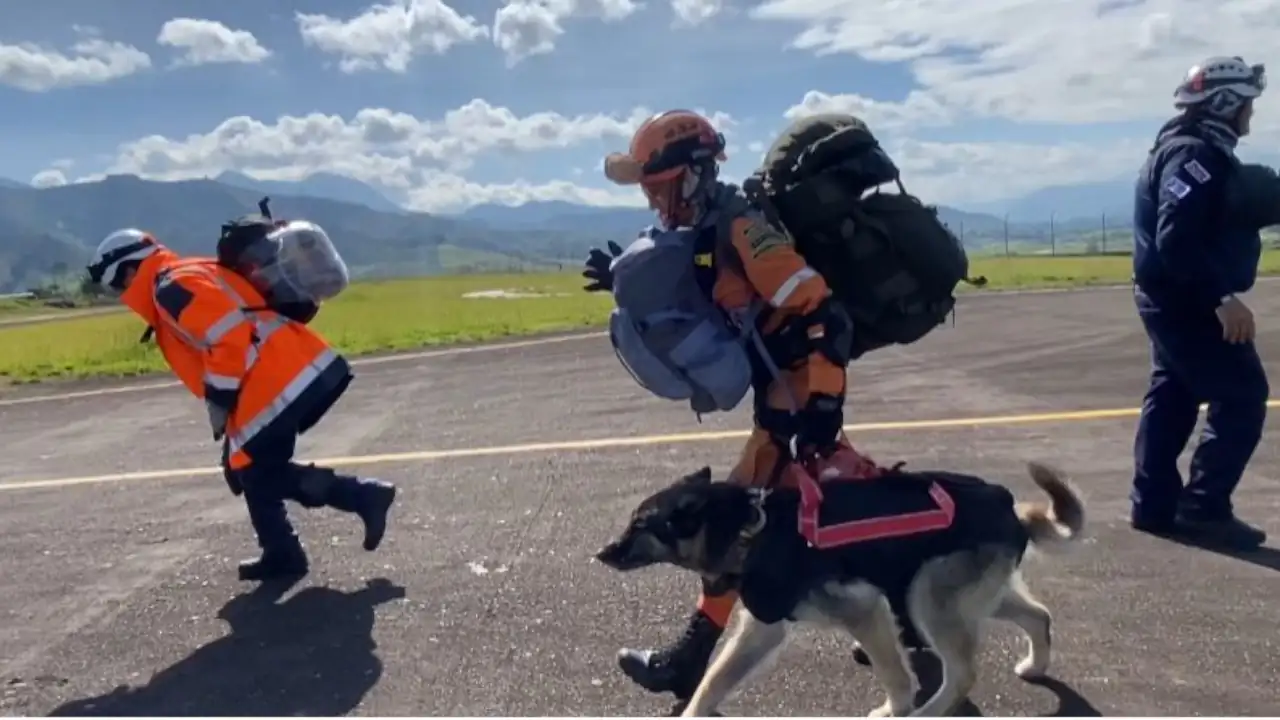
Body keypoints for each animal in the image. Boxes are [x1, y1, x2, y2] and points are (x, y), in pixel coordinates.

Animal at [593, 461, 1085, 712]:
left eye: (640, 525)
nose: (601, 552)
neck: (751, 529)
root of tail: (1009, 508)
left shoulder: (866, 610)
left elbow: (897, 678)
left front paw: (897, 710)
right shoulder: (762, 626)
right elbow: (713, 680)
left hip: (927, 598)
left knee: (963, 673)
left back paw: (928, 711)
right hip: (970, 597)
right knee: (1039, 615)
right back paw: (1036, 664)